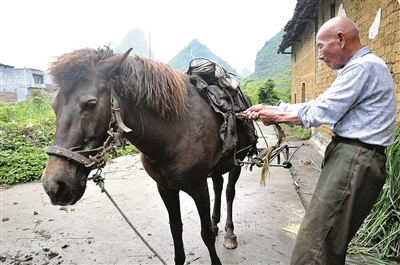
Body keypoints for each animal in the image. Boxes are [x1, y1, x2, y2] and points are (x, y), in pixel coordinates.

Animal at [40, 48, 256, 264]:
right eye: (54, 106)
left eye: (91, 104)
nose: (54, 186)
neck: (176, 133)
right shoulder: (166, 189)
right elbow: (176, 229)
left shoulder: (199, 188)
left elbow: (206, 235)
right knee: (219, 186)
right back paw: (216, 222)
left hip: (236, 163)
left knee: (229, 192)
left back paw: (229, 233)